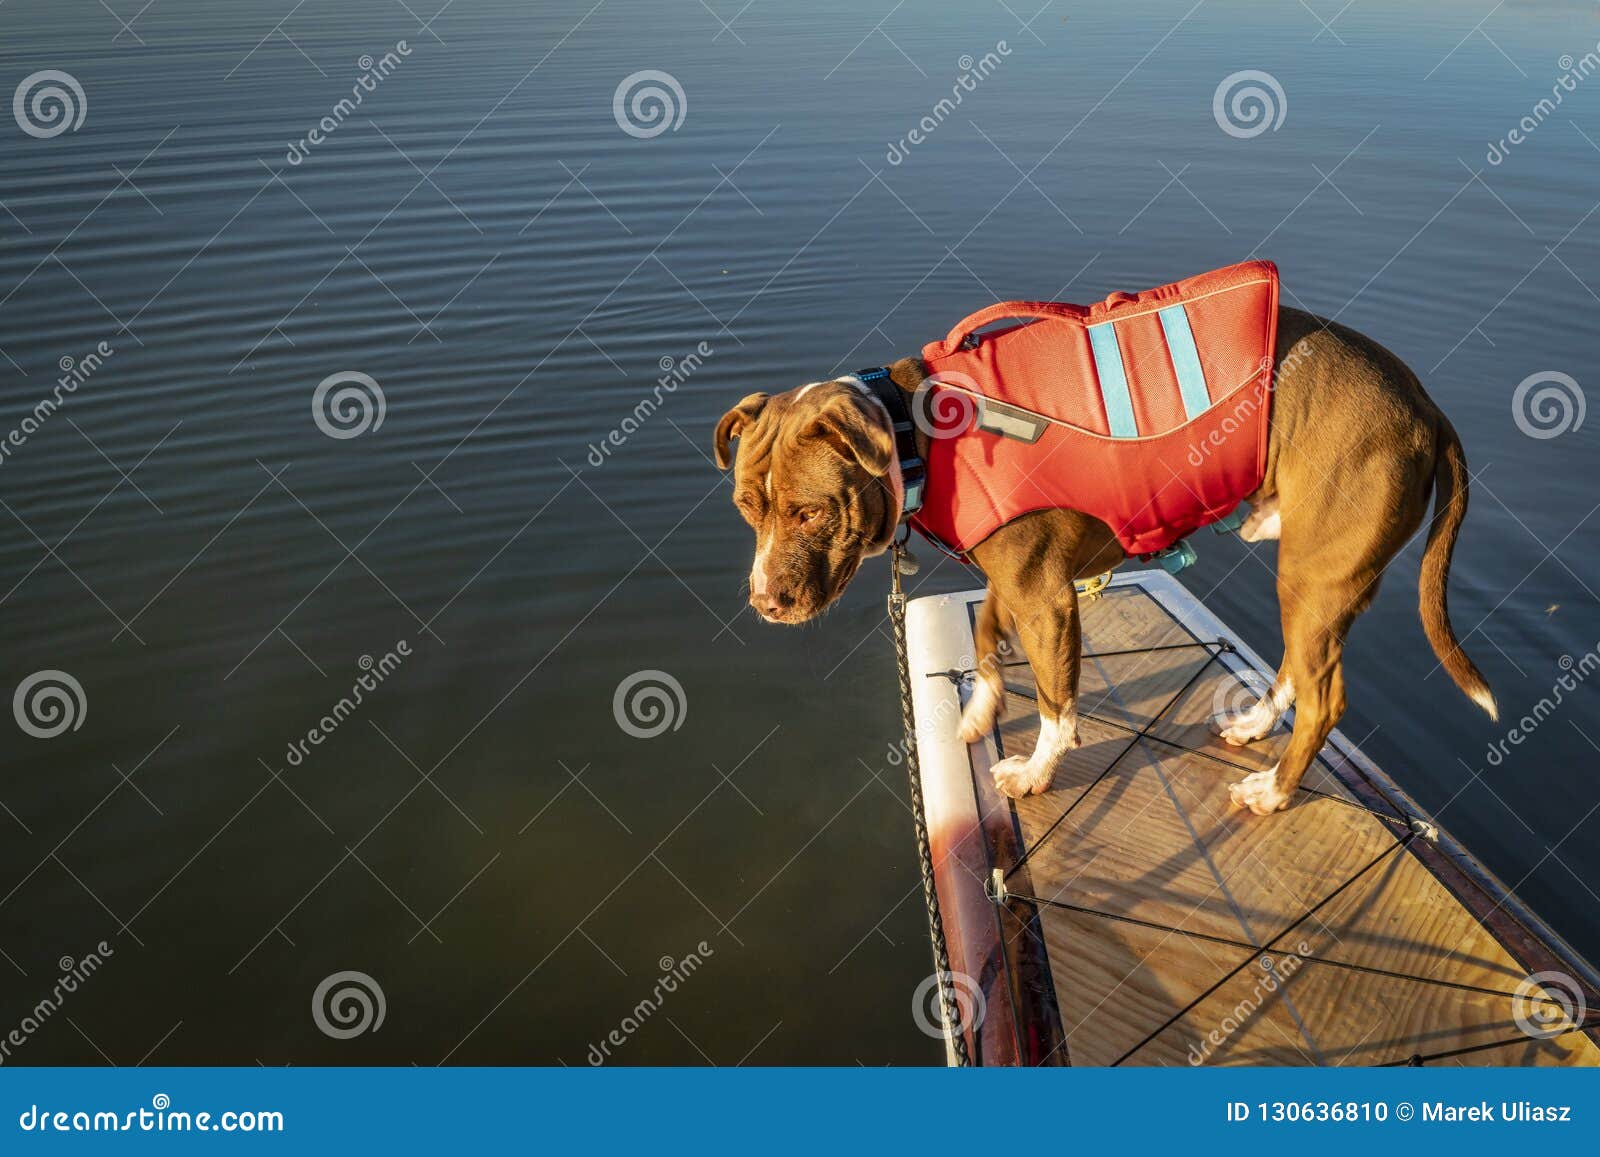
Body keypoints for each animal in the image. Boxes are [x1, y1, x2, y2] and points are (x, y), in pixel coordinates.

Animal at [716, 305, 1497, 816]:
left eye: (809, 512)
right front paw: (980, 709)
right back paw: (1252, 727)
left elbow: (1058, 705)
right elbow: (986, 636)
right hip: (1315, 584)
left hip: (1315, 577)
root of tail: (1425, 405)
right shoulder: (1019, 581)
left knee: (1325, 698)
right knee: (1297, 675)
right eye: (748, 509)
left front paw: (1034, 774)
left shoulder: (1047, 599)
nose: (763, 601)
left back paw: (1274, 791)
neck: (915, 431)